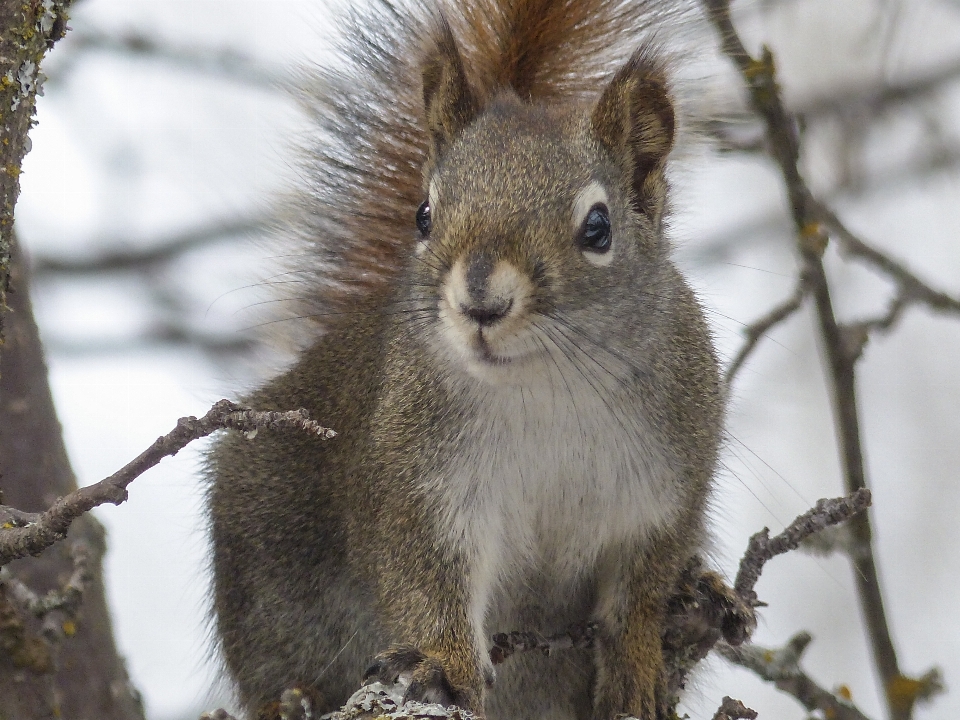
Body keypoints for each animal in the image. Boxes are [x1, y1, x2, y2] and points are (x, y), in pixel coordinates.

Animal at [208, 1, 720, 720]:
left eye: (598, 228)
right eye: (423, 214)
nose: (480, 300)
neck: (544, 386)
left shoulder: (667, 489)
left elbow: (642, 592)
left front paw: (639, 669)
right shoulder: (419, 482)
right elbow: (426, 577)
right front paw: (445, 664)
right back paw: (296, 697)